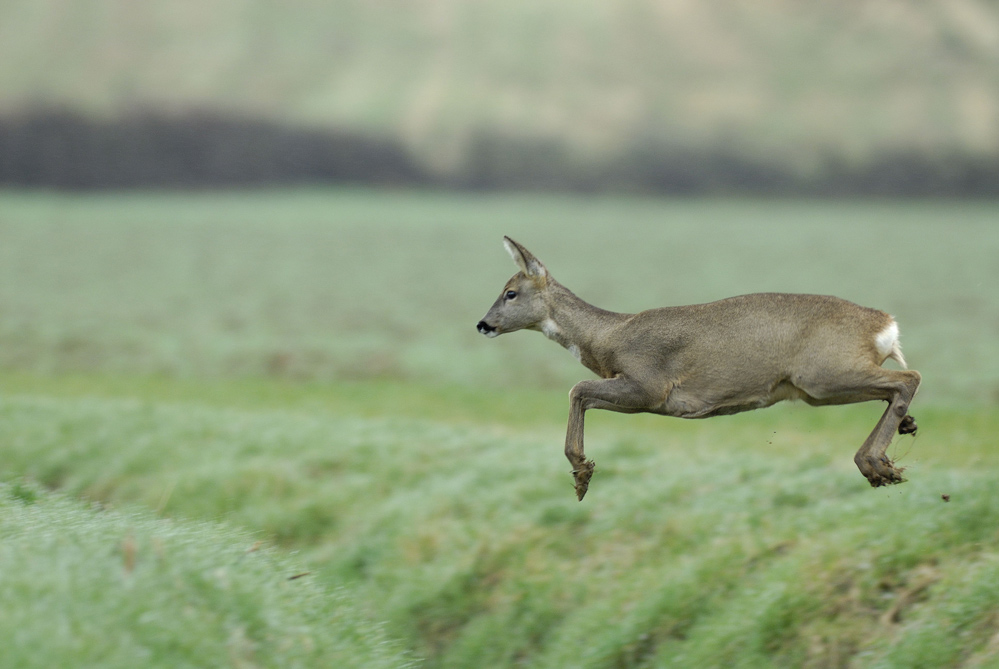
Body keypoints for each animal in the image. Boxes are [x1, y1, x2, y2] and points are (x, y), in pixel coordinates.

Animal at [476, 237, 920, 498]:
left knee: (908, 377)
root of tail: (886, 325)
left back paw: (875, 464)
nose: (483, 324)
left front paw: (582, 473)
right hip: (824, 383)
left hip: (824, 374)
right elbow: (583, 395)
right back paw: (894, 446)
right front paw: (582, 472)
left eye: (510, 292)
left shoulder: (649, 384)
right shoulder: (643, 396)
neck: (607, 338)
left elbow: (576, 389)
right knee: (895, 388)